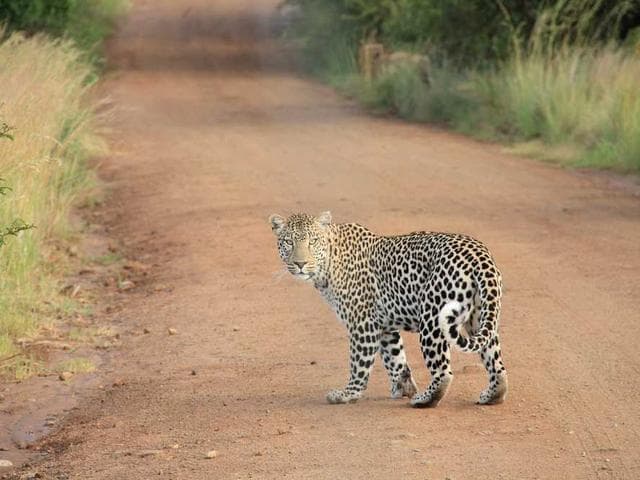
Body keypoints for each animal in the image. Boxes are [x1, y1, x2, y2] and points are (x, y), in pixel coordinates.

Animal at [268, 212, 508, 406]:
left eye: (313, 241)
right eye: (288, 242)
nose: (300, 264)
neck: (327, 265)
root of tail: (480, 255)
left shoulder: (362, 324)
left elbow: (359, 363)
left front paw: (348, 394)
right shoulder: (384, 326)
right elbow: (395, 359)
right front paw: (403, 388)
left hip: (432, 319)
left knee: (443, 372)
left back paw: (424, 399)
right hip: (480, 317)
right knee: (496, 364)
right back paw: (492, 395)